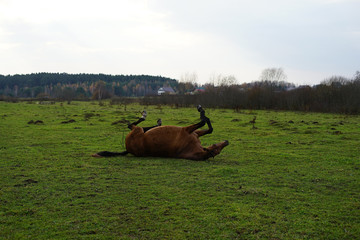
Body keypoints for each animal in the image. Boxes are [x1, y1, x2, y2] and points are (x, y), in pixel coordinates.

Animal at [92, 105, 228, 160]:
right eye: (215, 146)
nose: (226, 142)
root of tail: (128, 149)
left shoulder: (187, 130)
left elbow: (204, 122)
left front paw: (201, 110)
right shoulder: (193, 132)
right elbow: (208, 126)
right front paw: (202, 111)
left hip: (137, 131)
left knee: (132, 125)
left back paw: (148, 117)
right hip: (139, 131)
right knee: (137, 126)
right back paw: (156, 122)